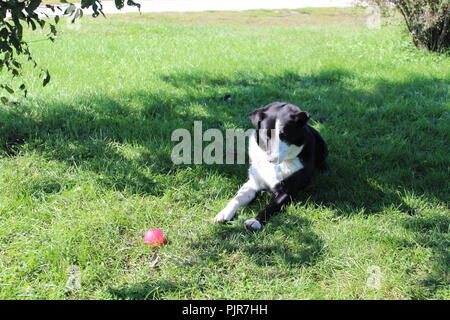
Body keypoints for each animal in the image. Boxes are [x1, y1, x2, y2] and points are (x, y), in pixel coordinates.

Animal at [214, 102, 326, 230]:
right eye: (266, 135)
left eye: (284, 135)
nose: (272, 160)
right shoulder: (253, 183)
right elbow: (238, 198)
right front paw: (224, 213)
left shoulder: (287, 192)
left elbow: (271, 206)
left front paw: (255, 221)